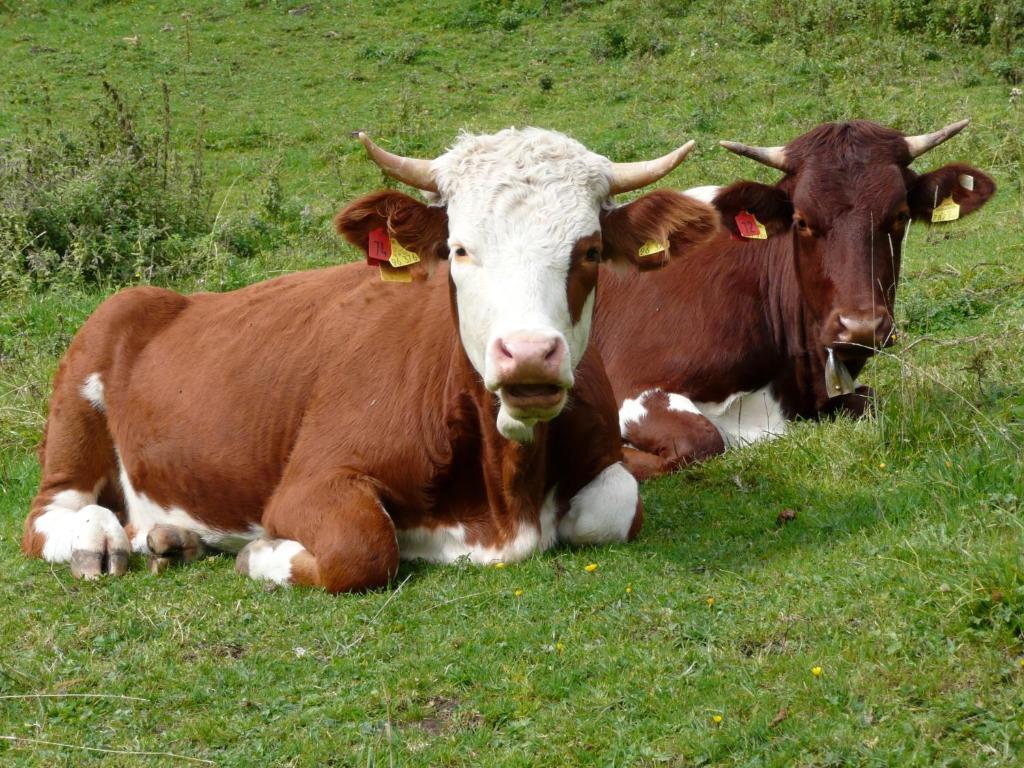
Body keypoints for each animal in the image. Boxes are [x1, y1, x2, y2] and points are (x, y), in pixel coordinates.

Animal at [19, 129, 716, 593]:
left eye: (590, 250)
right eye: (459, 249)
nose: (528, 354)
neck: (502, 495)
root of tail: (161, 296)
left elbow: (615, 506)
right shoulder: (313, 480)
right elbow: (363, 547)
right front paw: (261, 555)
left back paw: (170, 537)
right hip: (86, 383)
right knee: (48, 514)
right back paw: (95, 540)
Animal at [593, 118, 991, 481]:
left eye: (901, 216)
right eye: (801, 220)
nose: (861, 327)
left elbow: (869, 400)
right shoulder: (632, 381)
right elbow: (701, 440)